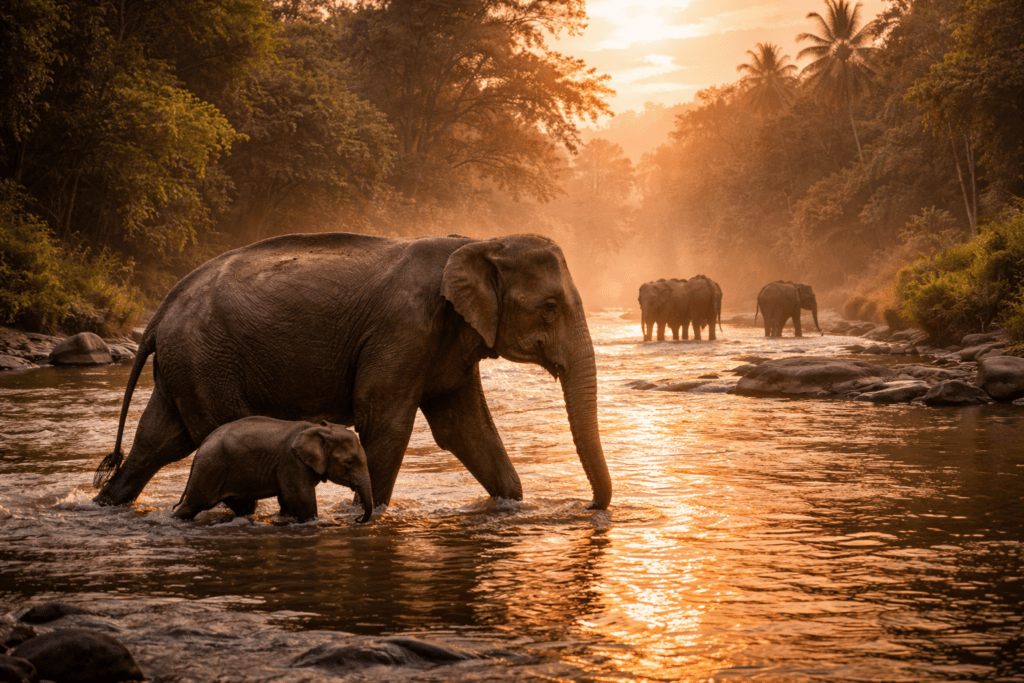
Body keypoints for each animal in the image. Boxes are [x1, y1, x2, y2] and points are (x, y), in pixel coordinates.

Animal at [172, 417, 373, 523]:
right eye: (349, 462)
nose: (357, 519)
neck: (319, 428)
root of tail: (202, 445)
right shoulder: (292, 461)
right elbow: (303, 498)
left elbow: (287, 498)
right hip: (210, 467)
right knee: (193, 505)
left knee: (244, 506)